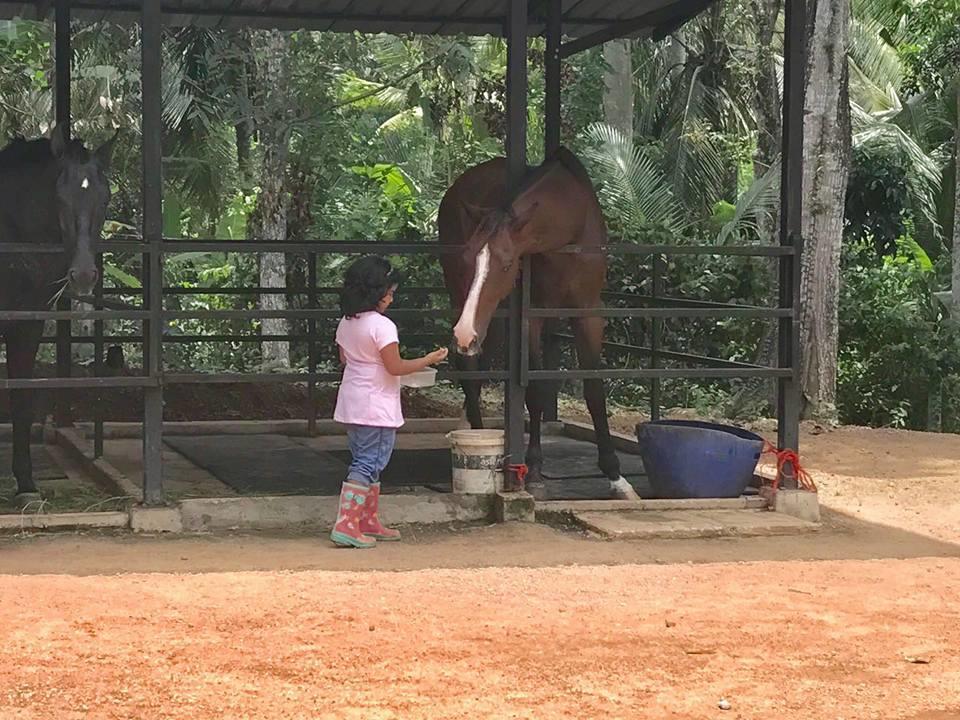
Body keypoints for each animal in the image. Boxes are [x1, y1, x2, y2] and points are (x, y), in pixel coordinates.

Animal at [440, 147, 636, 500]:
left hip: (490, 320)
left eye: (507, 264)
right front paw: (532, 471)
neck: (570, 227)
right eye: (467, 258)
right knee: (469, 367)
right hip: (465, 304)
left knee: (477, 364)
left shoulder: (588, 314)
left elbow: (594, 390)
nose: (463, 334)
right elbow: (534, 393)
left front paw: (616, 476)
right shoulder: (531, 318)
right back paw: (477, 438)